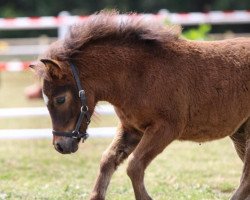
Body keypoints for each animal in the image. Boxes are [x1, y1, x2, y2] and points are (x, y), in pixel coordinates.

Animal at [31, 11, 250, 200]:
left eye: (60, 99)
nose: (60, 145)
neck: (137, 75)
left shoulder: (166, 128)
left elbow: (134, 165)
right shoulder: (131, 128)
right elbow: (108, 160)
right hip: (239, 133)